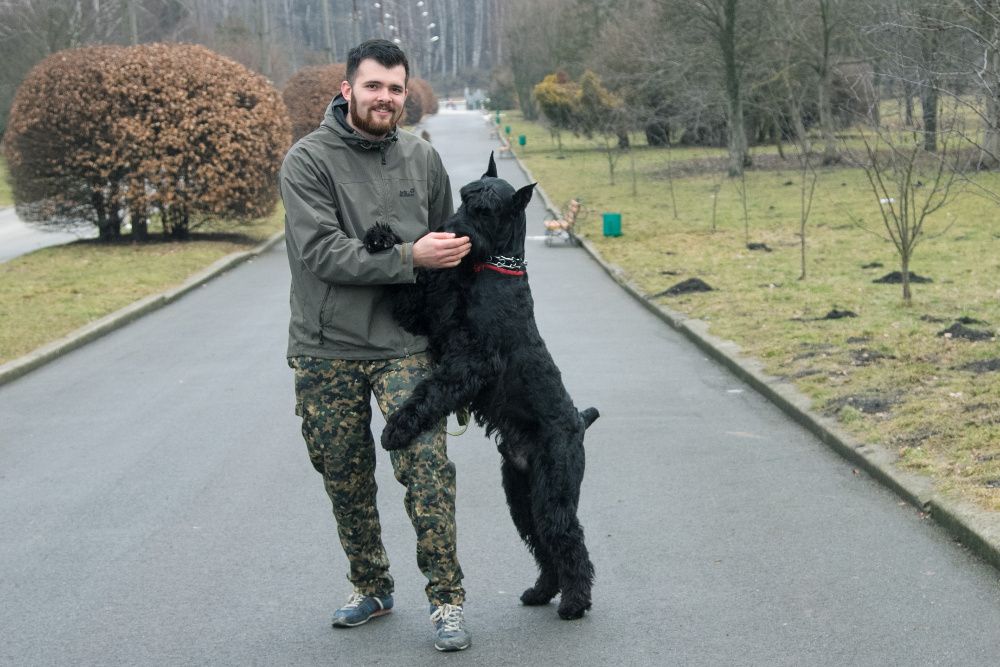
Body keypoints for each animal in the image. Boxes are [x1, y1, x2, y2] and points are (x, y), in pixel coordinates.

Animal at [368, 157, 600, 620]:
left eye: (486, 209)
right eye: (464, 196)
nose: (447, 230)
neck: (493, 266)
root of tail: (580, 421)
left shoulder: (472, 360)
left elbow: (431, 392)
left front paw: (397, 428)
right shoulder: (427, 317)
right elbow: (405, 286)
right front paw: (381, 238)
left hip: (554, 493)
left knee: (568, 539)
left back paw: (574, 602)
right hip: (522, 496)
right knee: (543, 543)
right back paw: (541, 591)